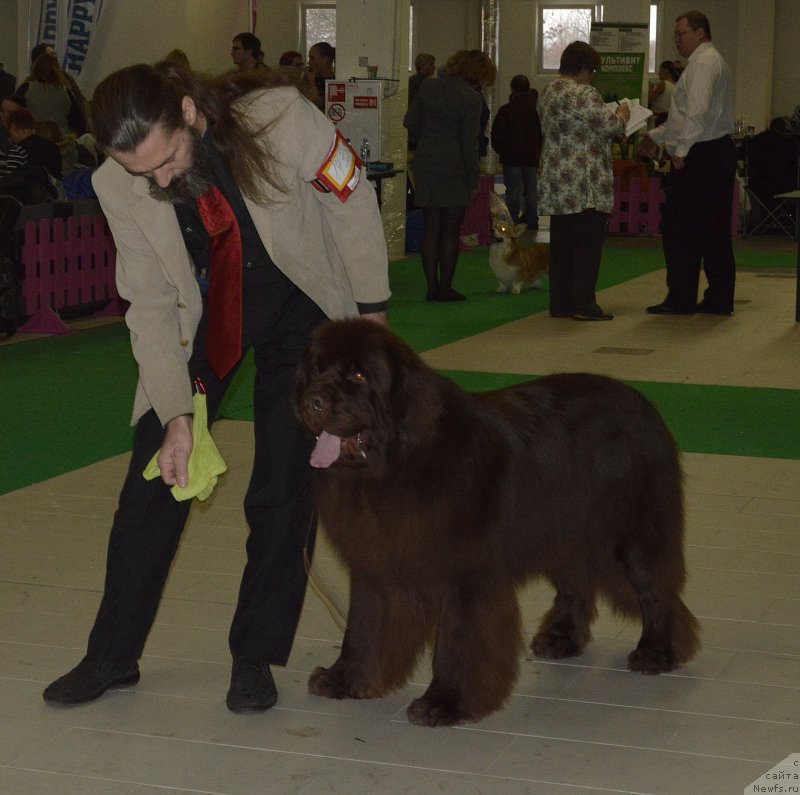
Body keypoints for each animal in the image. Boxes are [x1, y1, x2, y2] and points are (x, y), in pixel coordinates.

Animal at [296, 318, 700, 728]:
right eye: (316, 369)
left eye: (359, 375)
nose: (312, 401)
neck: (396, 464)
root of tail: (642, 402)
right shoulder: (375, 566)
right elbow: (362, 628)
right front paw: (343, 678)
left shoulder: (466, 577)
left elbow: (456, 642)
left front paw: (445, 701)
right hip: (560, 530)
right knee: (575, 584)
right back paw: (561, 638)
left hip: (632, 534)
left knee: (655, 590)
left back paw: (658, 652)